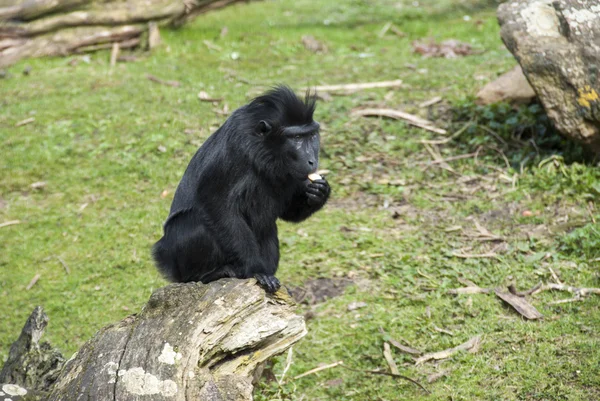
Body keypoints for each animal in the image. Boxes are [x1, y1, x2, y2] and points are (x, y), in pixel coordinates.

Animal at [149, 85, 328, 290]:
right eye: (297, 138)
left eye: (311, 135)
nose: (312, 160)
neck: (262, 151)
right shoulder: (233, 153)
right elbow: (218, 206)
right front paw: (256, 269)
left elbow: (287, 212)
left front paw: (320, 193)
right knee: (195, 223)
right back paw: (211, 274)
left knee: (268, 227)